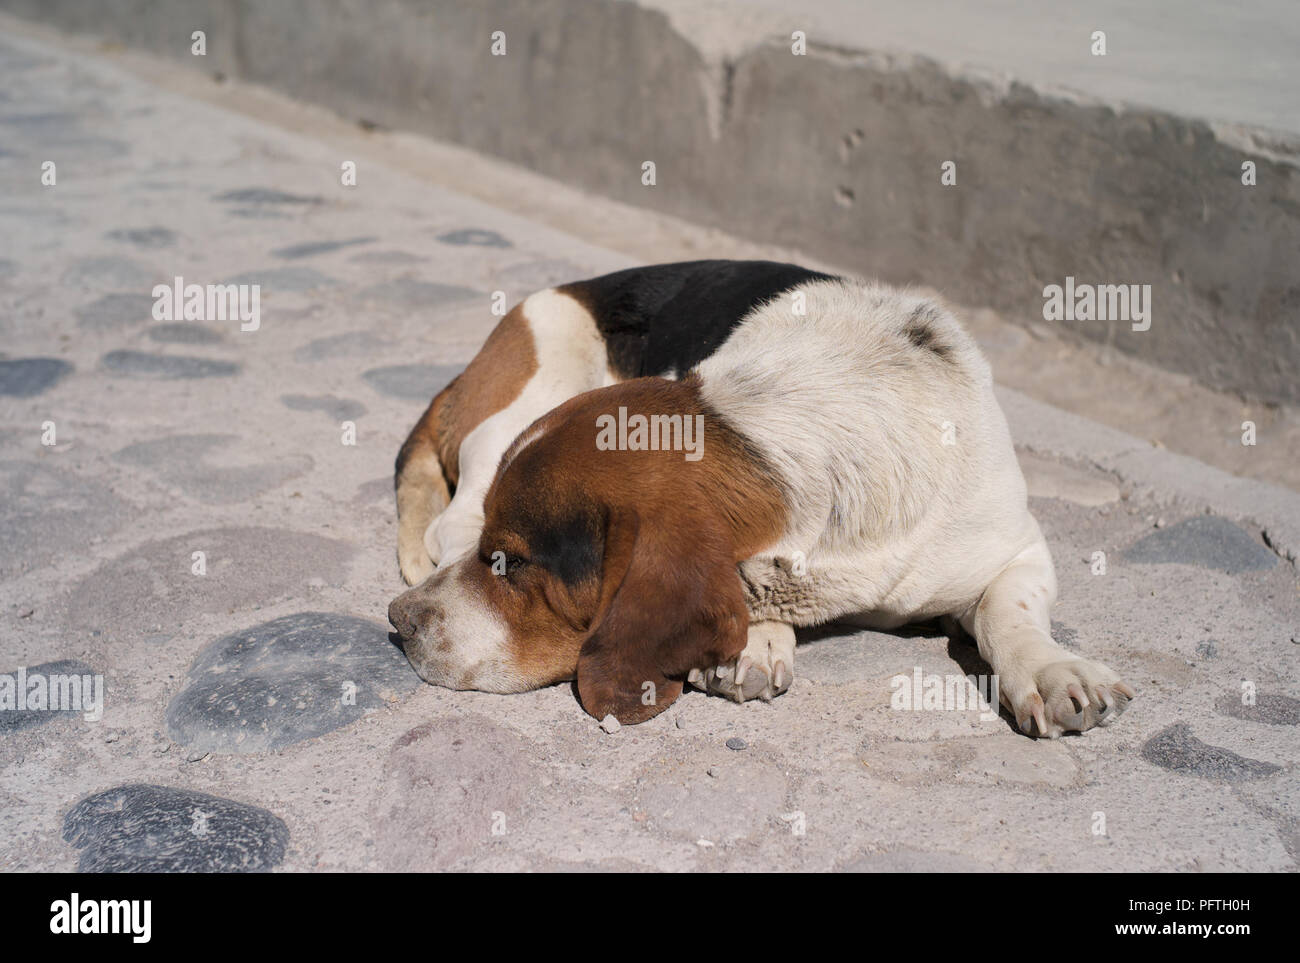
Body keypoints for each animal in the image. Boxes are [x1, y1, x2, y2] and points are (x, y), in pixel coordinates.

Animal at [382, 258, 1128, 732]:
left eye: (510, 564)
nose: (398, 620)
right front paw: (756, 641)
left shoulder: (1017, 548)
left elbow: (1011, 609)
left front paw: (1051, 669)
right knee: (446, 525)